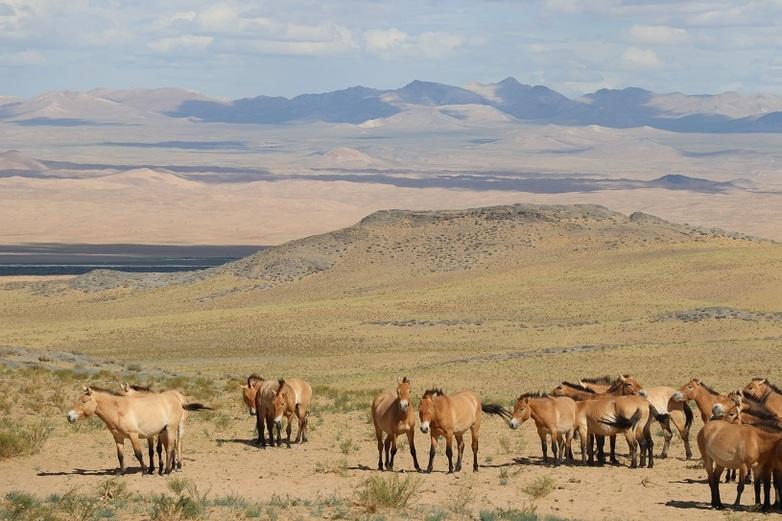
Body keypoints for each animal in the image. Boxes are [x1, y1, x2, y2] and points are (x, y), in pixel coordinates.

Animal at [67, 386, 210, 475]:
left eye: (84, 401)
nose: (69, 416)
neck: (118, 410)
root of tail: (177, 399)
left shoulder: (133, 435)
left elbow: (139, 453)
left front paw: (145, 470)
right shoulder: (118, 437)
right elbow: (120, 455)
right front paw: (122, 472)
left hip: (173, 428)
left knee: (173, 447)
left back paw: (169, 470)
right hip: (164, 431)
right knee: (170, 448)